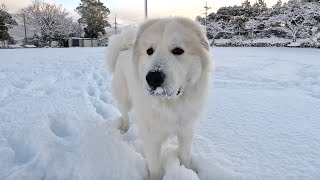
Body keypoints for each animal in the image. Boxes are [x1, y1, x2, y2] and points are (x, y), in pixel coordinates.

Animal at [107, 17, 212, 180]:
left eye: (178, 50)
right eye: (150, 51)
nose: (153, 77)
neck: (170, 104)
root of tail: (124, 48)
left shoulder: (186, 130)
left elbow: (185, 155)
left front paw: (188, 170)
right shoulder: (152, 137)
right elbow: (155, 165)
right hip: (124, 96)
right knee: (124, 113)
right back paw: (124, 128)